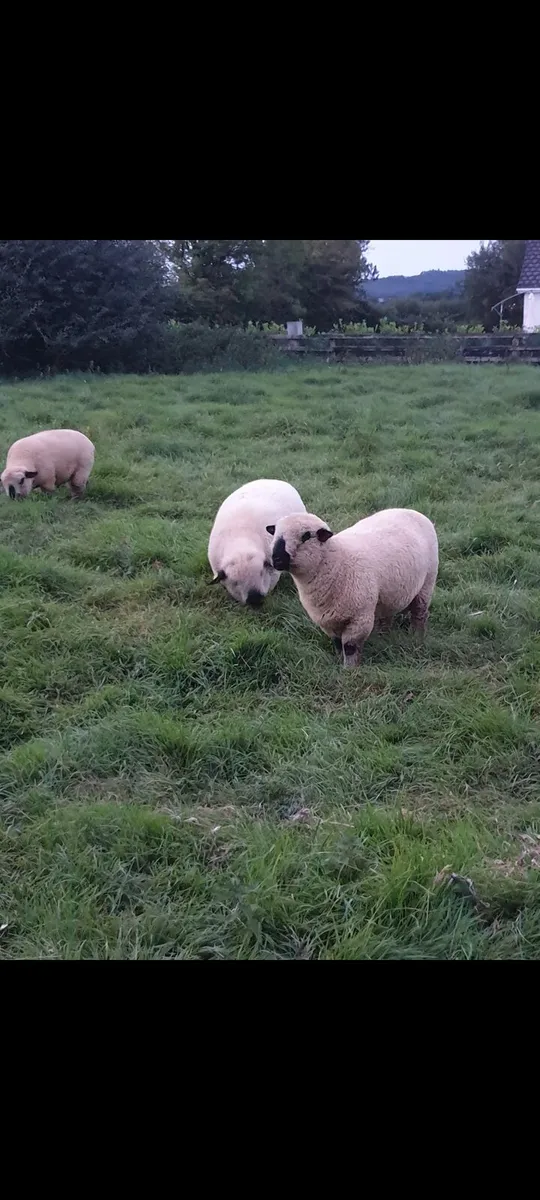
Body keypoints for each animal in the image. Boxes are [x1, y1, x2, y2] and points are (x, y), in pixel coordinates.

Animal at [267, 507, 438, 667]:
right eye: (275, 533)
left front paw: (349, 670)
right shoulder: (327, 620)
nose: (276, 558)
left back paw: (417, 636)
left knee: (420, 612)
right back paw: (383, 635)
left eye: (306, 536)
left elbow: (349, 647)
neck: (336, 561)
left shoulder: (360, 618)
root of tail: (410, 510)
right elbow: (337, 644)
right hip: (389, 593)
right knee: (387, 615)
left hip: (427, 581)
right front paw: (338, 661)